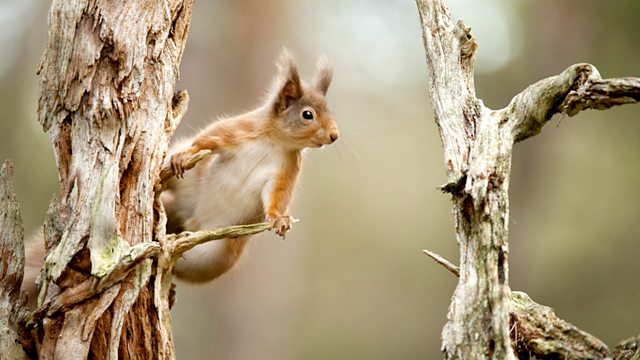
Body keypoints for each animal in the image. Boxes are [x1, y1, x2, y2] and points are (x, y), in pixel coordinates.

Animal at [162, 49, 338, 282]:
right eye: (307, 114)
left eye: (329, 110)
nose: (334, 135)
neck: (275, 142)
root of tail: (190, 219)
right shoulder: (237, 129)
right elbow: (208, 138)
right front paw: (185, 155)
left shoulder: (287, 169)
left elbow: (278, 195)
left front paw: (279, 219)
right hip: (189, 183)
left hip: (215, 258)